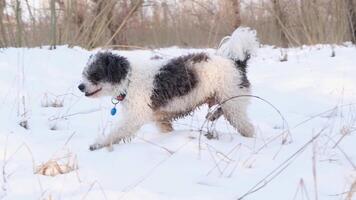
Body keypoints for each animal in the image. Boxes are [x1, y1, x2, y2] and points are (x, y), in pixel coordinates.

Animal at [78, 27, 258, 151]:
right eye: (84, 72)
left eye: (95, 74)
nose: (80, 87)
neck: (129, 80)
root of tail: (236, 63)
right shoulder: (160, 117)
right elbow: (166, 129)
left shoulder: (135, 116)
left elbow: (117, 131)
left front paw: (99, 144)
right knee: (221, 111)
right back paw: (213, 115)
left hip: (233, 103)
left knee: (247, 127)